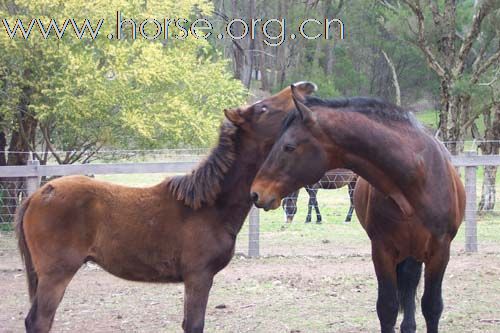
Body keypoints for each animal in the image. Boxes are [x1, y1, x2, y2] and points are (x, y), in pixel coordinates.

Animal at [15, 81, 318, 330]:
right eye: (263, 108)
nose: (305, 86)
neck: (209, 206)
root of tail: (38, 193)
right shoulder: (198, 276)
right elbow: (193, 324)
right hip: (56, 274)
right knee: (39, 321)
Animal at [252, 85, 466, 332]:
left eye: (289, 147)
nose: (256, 192)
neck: (416, 177)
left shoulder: (439, 251)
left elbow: (432, 307)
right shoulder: (382, 250)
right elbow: (387, 307)